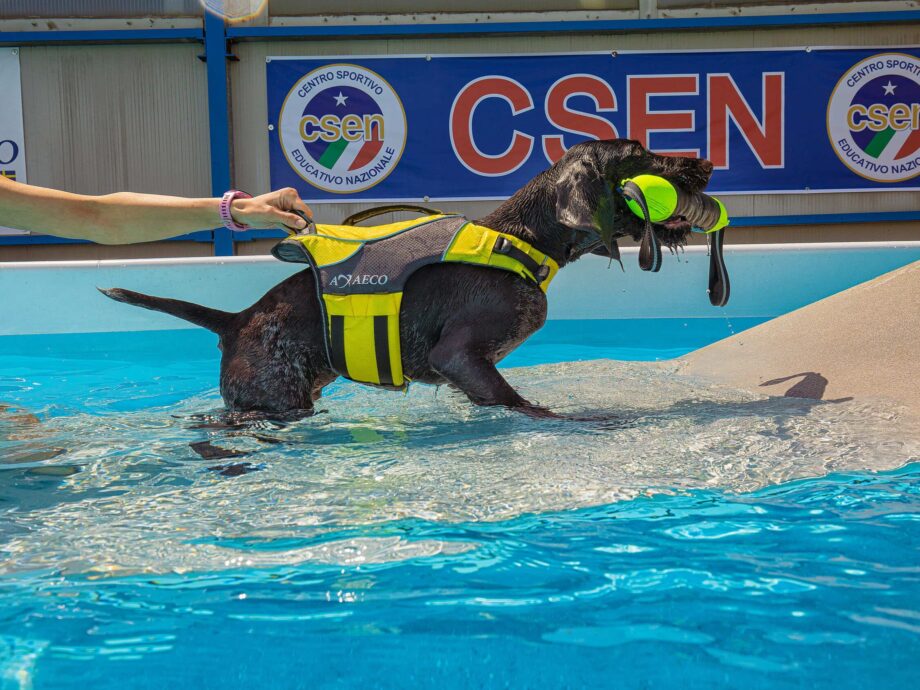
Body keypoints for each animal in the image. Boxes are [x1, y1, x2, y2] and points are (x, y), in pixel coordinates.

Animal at [102, 140, 712, 416]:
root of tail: (238, 320)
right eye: (640, 153)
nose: (703, 162)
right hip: (274, 401)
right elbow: (522, 404)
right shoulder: (458, 356)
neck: (524, 241)